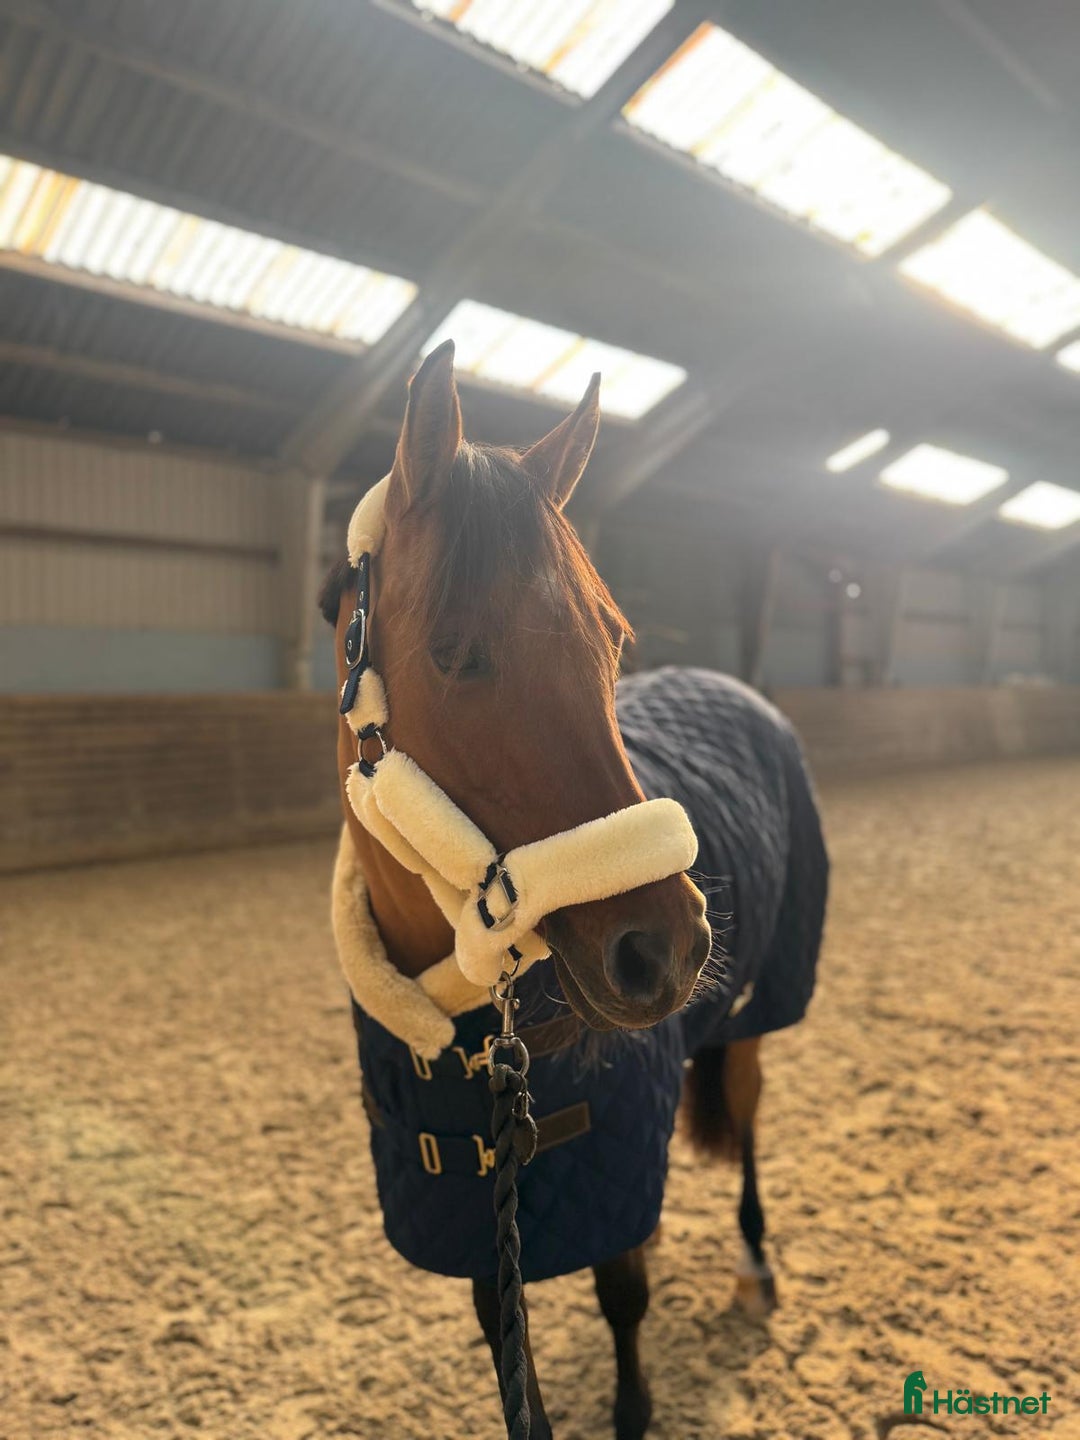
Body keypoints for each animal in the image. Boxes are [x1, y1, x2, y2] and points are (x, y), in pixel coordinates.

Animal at [319, 340, 828, 1439]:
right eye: (453, 651)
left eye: (612, 642)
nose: (666, 947)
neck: (461, 1024)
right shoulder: (478, 1206)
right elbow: (499, 1325)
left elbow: (622, 1297)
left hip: (754, 1014)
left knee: (749, 1124)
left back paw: (755, 1263)